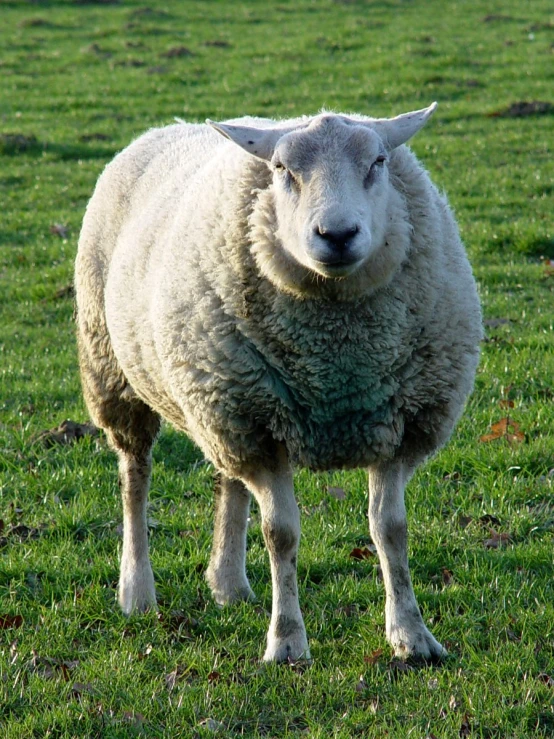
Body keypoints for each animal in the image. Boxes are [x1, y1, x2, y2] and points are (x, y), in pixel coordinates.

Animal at [75, 104, 480, 664]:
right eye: (282, 170)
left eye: (377, 162)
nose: (337, 234)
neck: (336, 359)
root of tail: (168, 126)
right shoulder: (262, 435)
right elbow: (280, 535)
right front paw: (287, 641)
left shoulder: (397, 424)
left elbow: (390, 530)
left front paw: (411, 635)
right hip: (119, 374)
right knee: (135, 478)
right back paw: (137, 590)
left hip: (226, 400)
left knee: (228, 481)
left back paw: (228, 583)